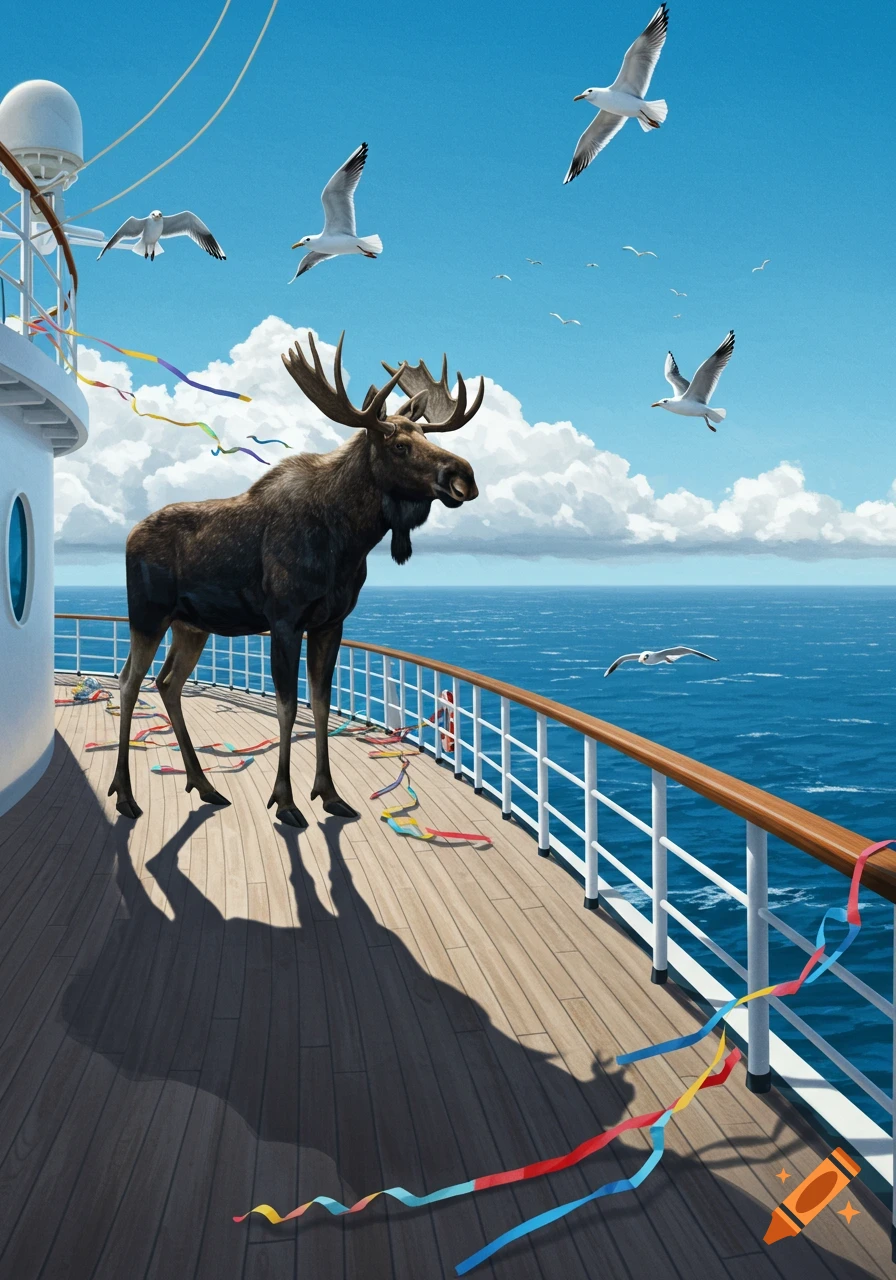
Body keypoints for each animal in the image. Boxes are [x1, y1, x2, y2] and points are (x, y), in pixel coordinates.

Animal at [108, 332, 484, 828]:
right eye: (399, 445)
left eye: (424, 434)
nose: (464, 476)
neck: (349, 540)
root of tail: (129, 534)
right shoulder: (284, 620)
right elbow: (287, 706)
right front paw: (285, 801)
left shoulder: (331, 622)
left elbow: (320, 703)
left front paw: (329, 794)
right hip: (147, 616)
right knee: (129, 680)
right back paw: (125, 795)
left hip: (192, 626)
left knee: (168, 683)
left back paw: (205, 786)